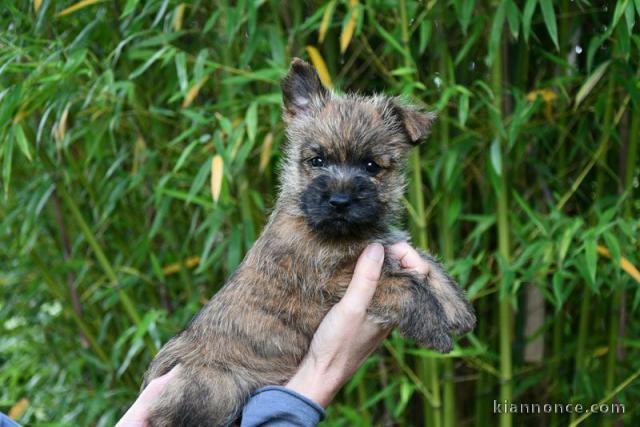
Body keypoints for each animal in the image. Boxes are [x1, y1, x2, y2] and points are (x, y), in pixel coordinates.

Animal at [144, 58, 476, 426]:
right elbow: (403, 286)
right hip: (215, 386)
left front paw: (458, 310)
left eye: (371, 166)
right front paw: (436, 328)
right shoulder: (334, 279)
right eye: (317, 161)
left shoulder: (388, 246)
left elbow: (430, 266)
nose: (340, 201)